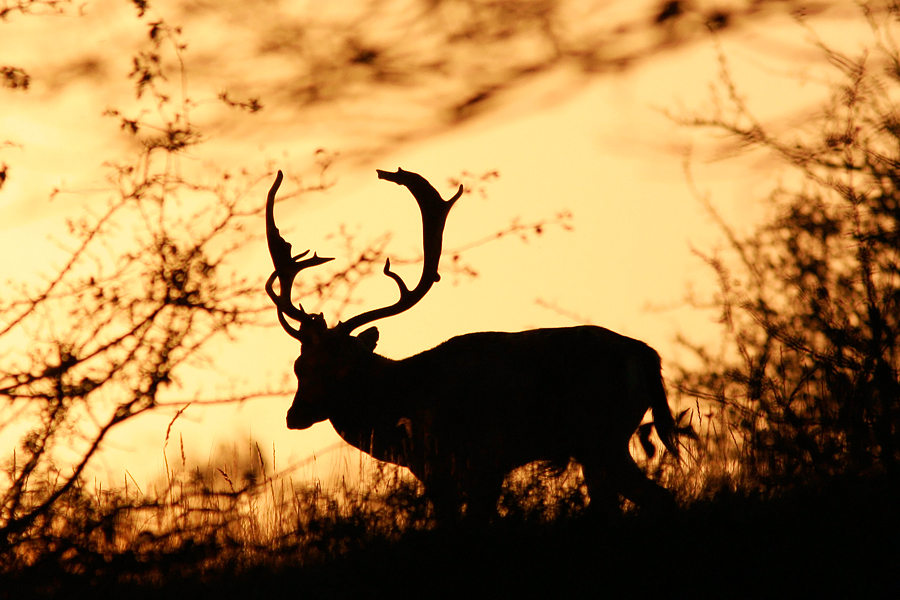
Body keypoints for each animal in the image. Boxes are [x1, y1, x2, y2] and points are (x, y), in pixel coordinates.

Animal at [268, 168, 684, 520]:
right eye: (299, 365)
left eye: (341, 365)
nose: (294, 415)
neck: (405, 398)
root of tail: (647, 355)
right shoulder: (435, 472)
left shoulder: (485, 456)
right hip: (599, 443)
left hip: (603, 435)